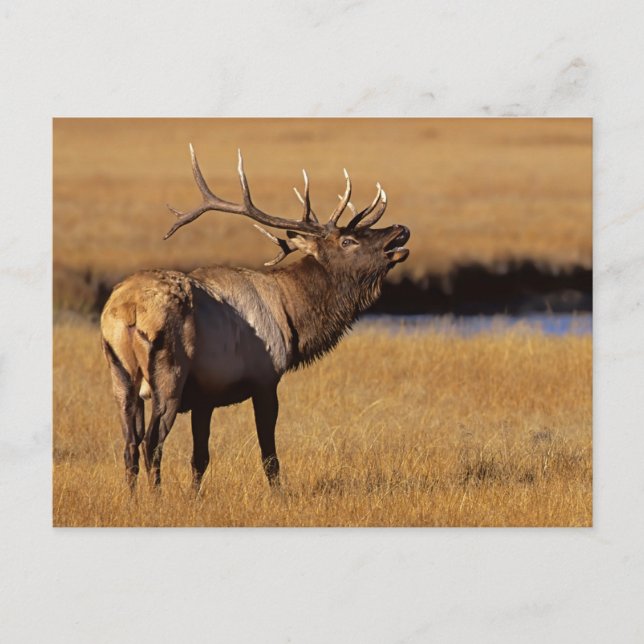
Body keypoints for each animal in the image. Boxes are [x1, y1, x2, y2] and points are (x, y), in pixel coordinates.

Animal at [100, 145, 410, 491]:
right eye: (348, 240)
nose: (400, 229)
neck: (292, 318)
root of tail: (128, 310)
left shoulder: (205, 396)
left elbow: (200, 459)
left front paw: (193, 496)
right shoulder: (265, 379)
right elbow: (269, 457)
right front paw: (279, 496)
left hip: (120, 375)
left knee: (129, 445)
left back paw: (133, 497)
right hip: (168, 374)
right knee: (151, 443)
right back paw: (156, 498)